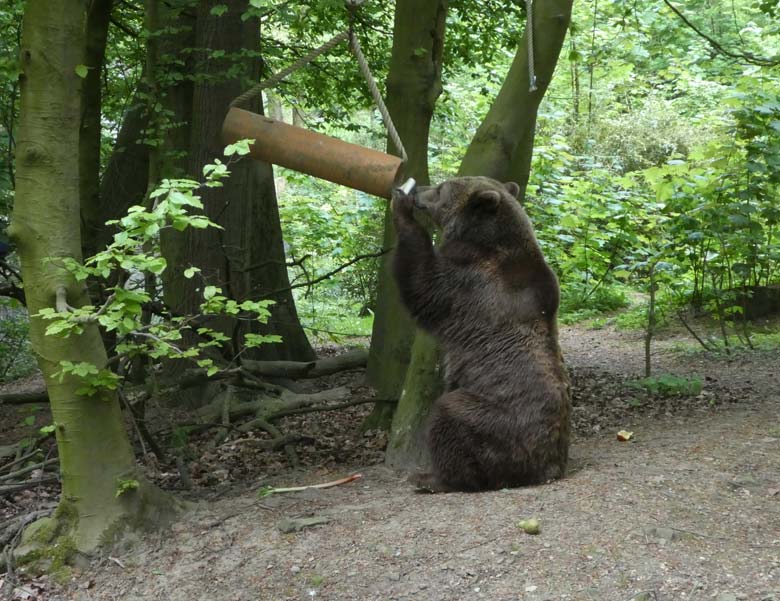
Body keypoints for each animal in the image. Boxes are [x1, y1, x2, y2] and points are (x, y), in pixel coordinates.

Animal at [394, 175, 568, 492]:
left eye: (441, 188)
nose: (420, 190)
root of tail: (547, 469)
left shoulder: (471, 286)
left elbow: (422, 285)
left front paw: (401, 207)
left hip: (496, 423)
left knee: (450, 413)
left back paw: (432, 478)